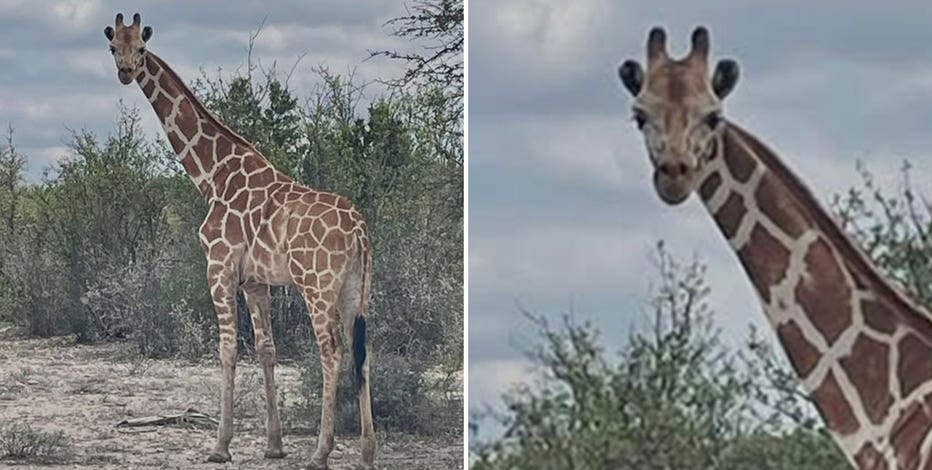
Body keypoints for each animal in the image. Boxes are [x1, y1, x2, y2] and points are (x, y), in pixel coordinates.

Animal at [104, 13, 376, 469]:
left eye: (140, 47)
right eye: (113, 47)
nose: (125, 72)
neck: (212, 176)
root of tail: (359, 229)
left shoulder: (219, 266)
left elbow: (228, 348)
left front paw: (220, 445)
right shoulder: (255, 280)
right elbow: (267, 349)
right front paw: (274, 444)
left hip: (317, 285)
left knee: (332, 350)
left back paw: (321, 452)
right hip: (358, 287)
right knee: (363, 351)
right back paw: (369, 452)